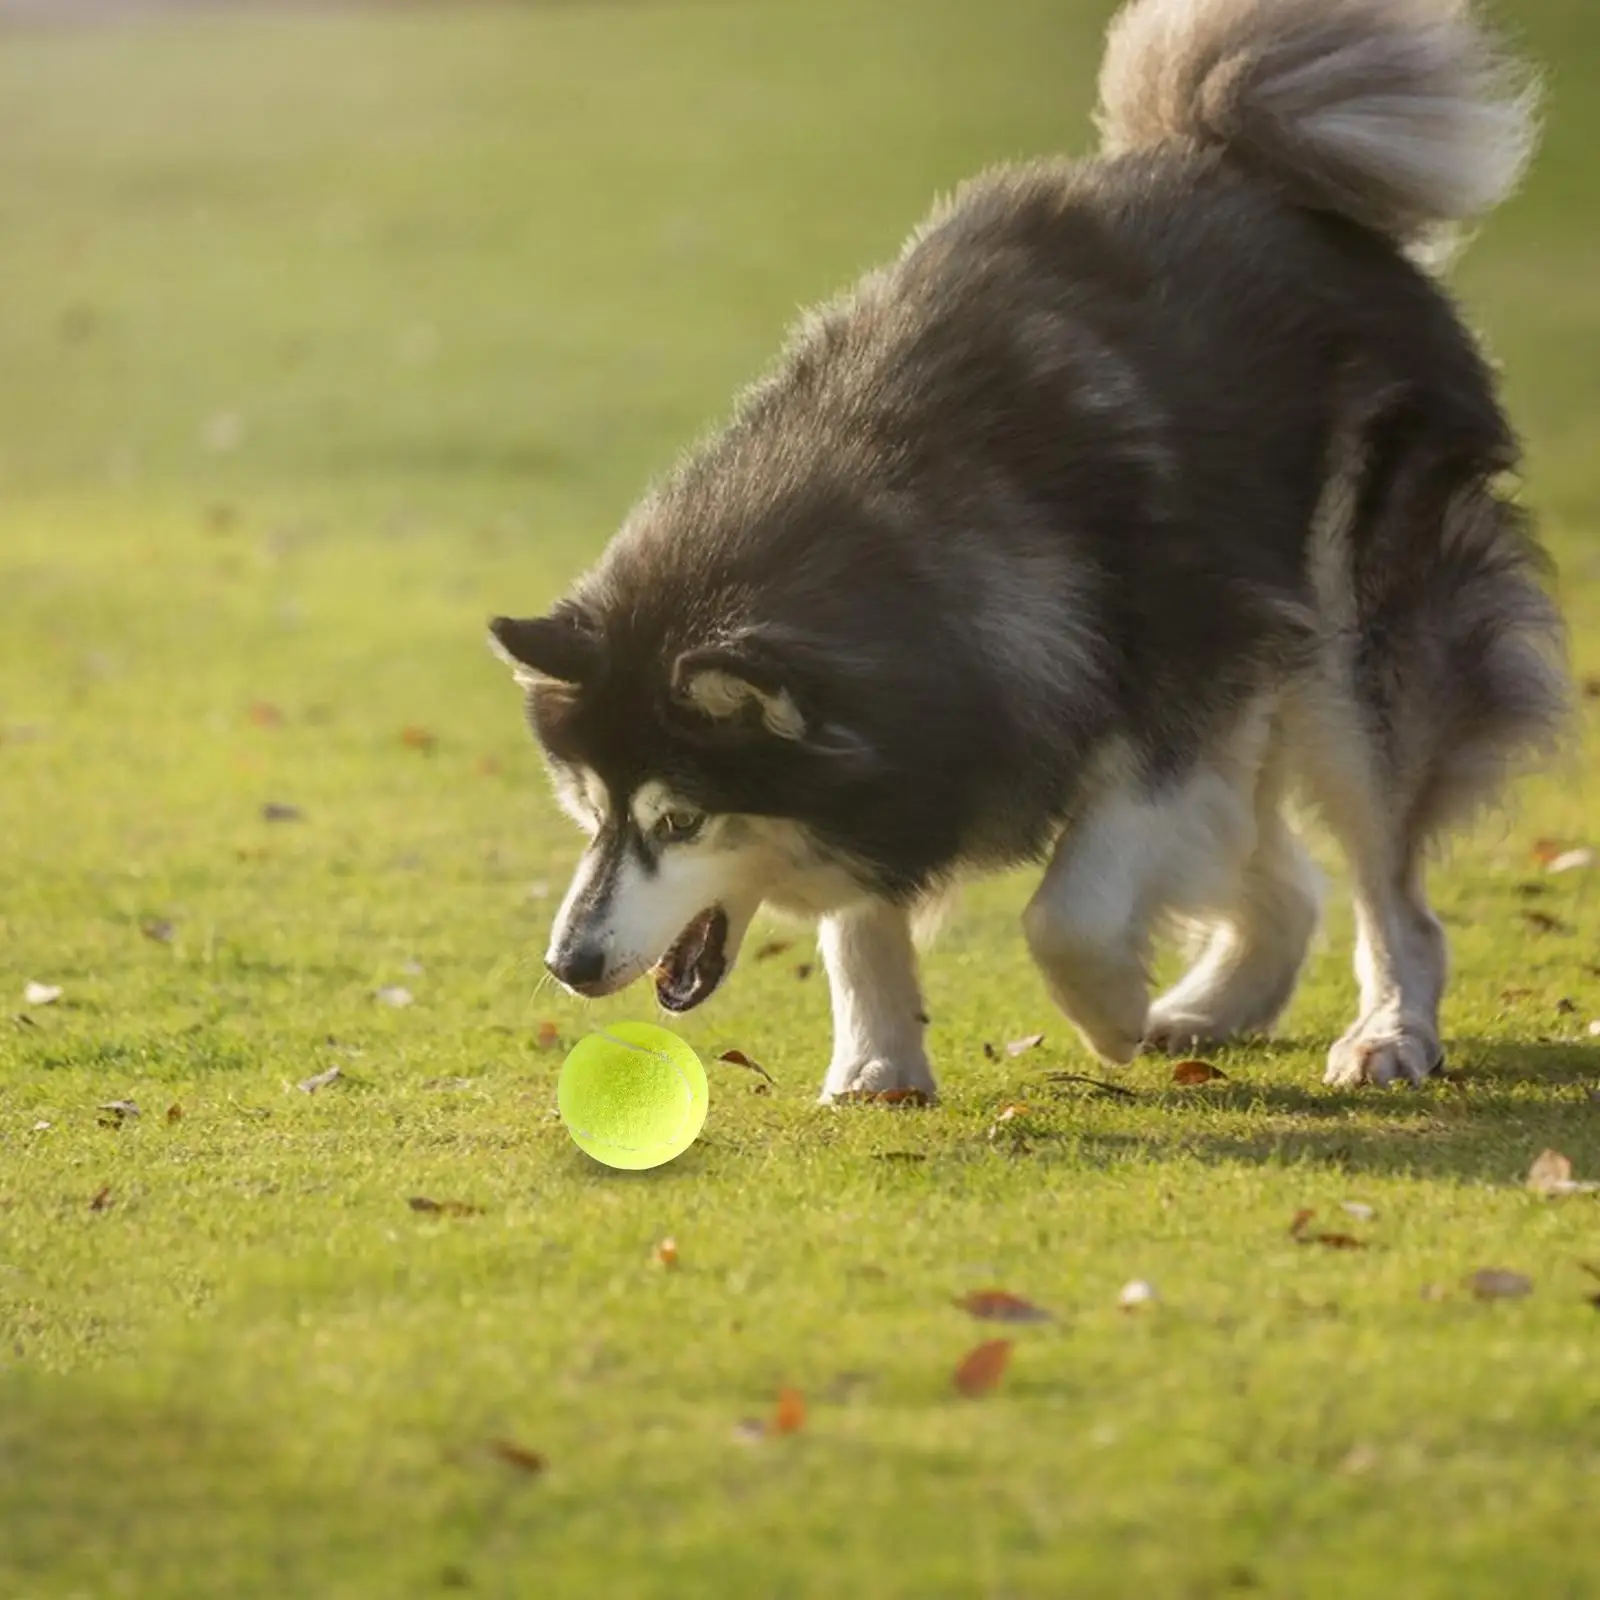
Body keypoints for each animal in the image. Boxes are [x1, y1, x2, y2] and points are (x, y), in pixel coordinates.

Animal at [486, 0, 1561, 1100]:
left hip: (1348, 648)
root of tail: (1230, 158)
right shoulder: (920, 738)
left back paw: (1387, 1029)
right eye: (592, 810)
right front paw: (878, 1060)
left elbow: (1065, 912)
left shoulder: (1178, 690)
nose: (567, 963)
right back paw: (1213, 1009)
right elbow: (863, 912)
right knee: (1289, 881)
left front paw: (1110, 1012)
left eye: (680, 821)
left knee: (1394, 891)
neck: (911, 520)